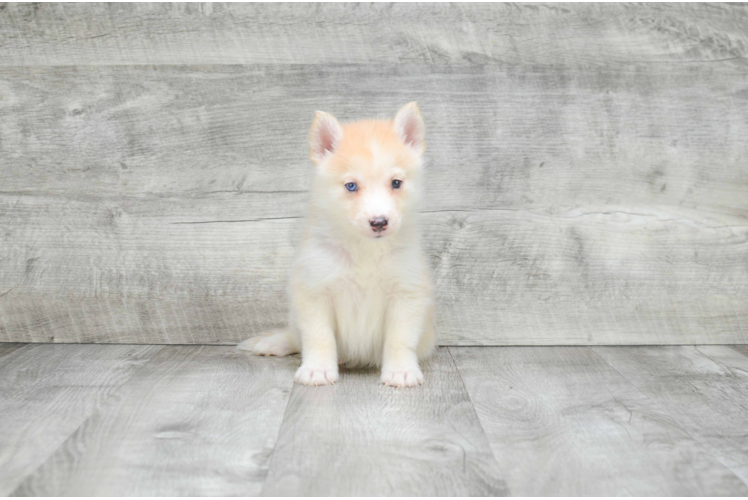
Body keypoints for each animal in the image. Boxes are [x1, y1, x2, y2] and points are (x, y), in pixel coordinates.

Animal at [240, 103, 436, 388]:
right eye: (351, 186)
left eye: (396, 183)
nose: (379, 222)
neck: (364, 250)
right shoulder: (314, 291)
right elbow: (318, 337)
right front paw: (317, 369)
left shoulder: (407, 293)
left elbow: (400, 340)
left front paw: (401, 371)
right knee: (294, 335)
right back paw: (274, 343)